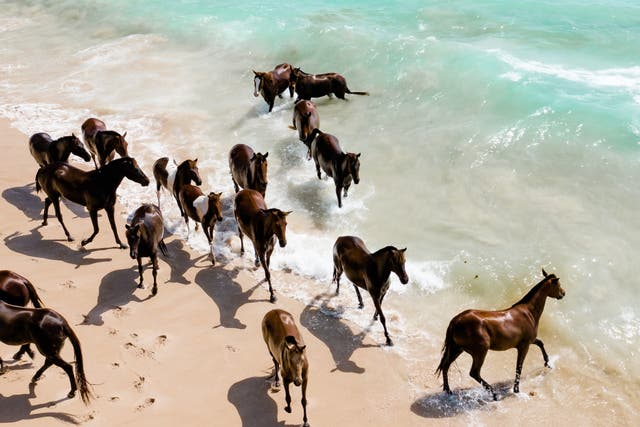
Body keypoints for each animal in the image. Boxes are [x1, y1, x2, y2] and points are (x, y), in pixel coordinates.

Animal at [436, 269, 566, 400]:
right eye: (558, 284)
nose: (563, 293)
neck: (528, 311)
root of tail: (456, 320)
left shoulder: (530, 341)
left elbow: (540, 343)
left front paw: (548, 363)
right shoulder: (524, 346)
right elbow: (519, 367)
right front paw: (516, 390)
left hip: (457, 349)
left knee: (446, 366)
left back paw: (448, 390)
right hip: (480, 351)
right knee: (474, 372)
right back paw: (493, 393)